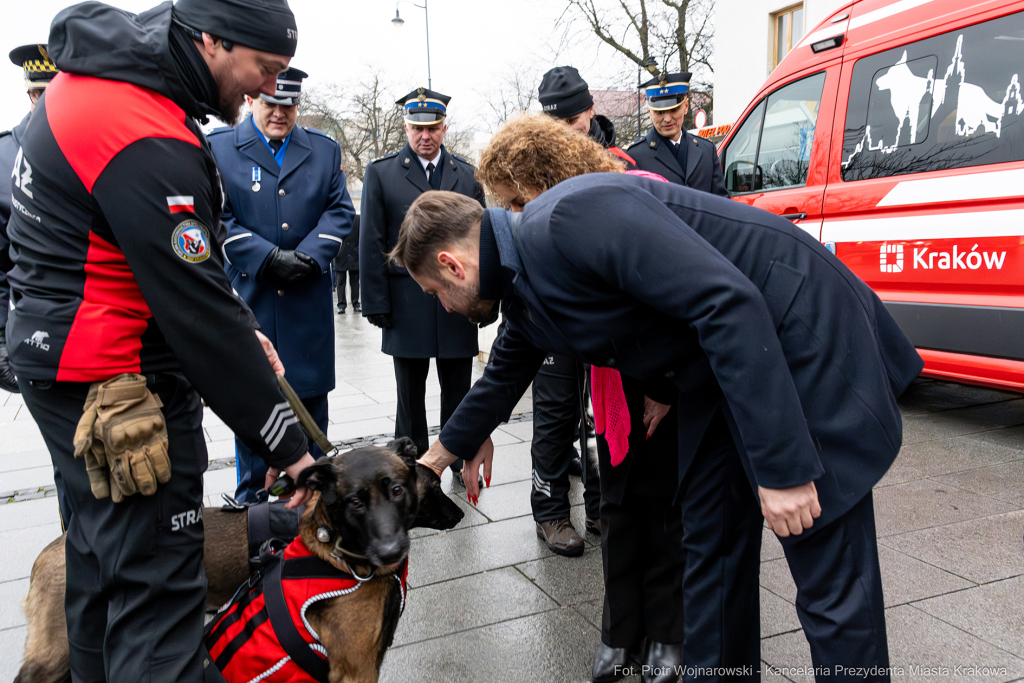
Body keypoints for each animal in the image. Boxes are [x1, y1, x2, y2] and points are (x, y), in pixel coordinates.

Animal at [16, 438, 462, 683]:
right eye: (434, 488)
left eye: (400, 490)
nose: (460, 513)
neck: (338, 554)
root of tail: (50, 551)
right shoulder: (354, 669)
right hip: (56, 651)